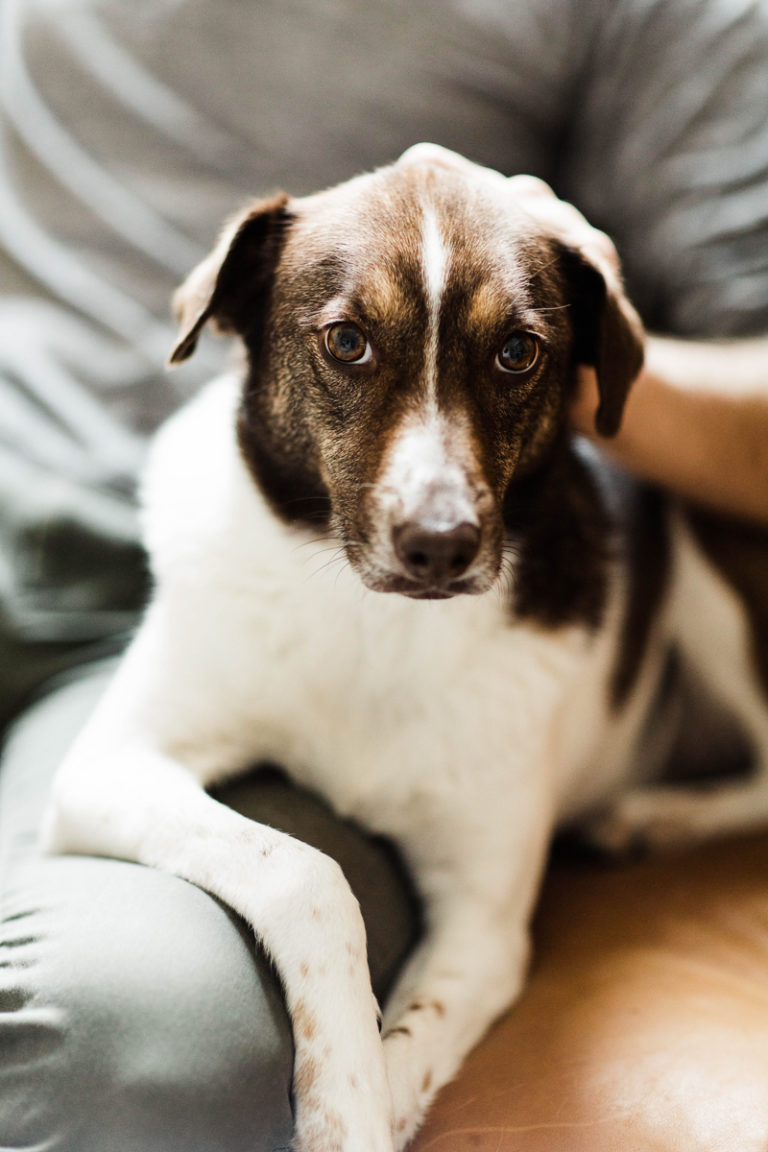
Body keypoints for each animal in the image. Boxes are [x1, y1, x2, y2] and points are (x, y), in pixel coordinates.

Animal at [43, 144, 768, 1152]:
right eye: (347, 341)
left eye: (518, 352)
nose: (441, 544)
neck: (375, 624)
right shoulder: (110, 766)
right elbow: (310, 874)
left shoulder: (485, 928)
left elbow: (407, 1042)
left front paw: (354, 1107)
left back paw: (655, 818)